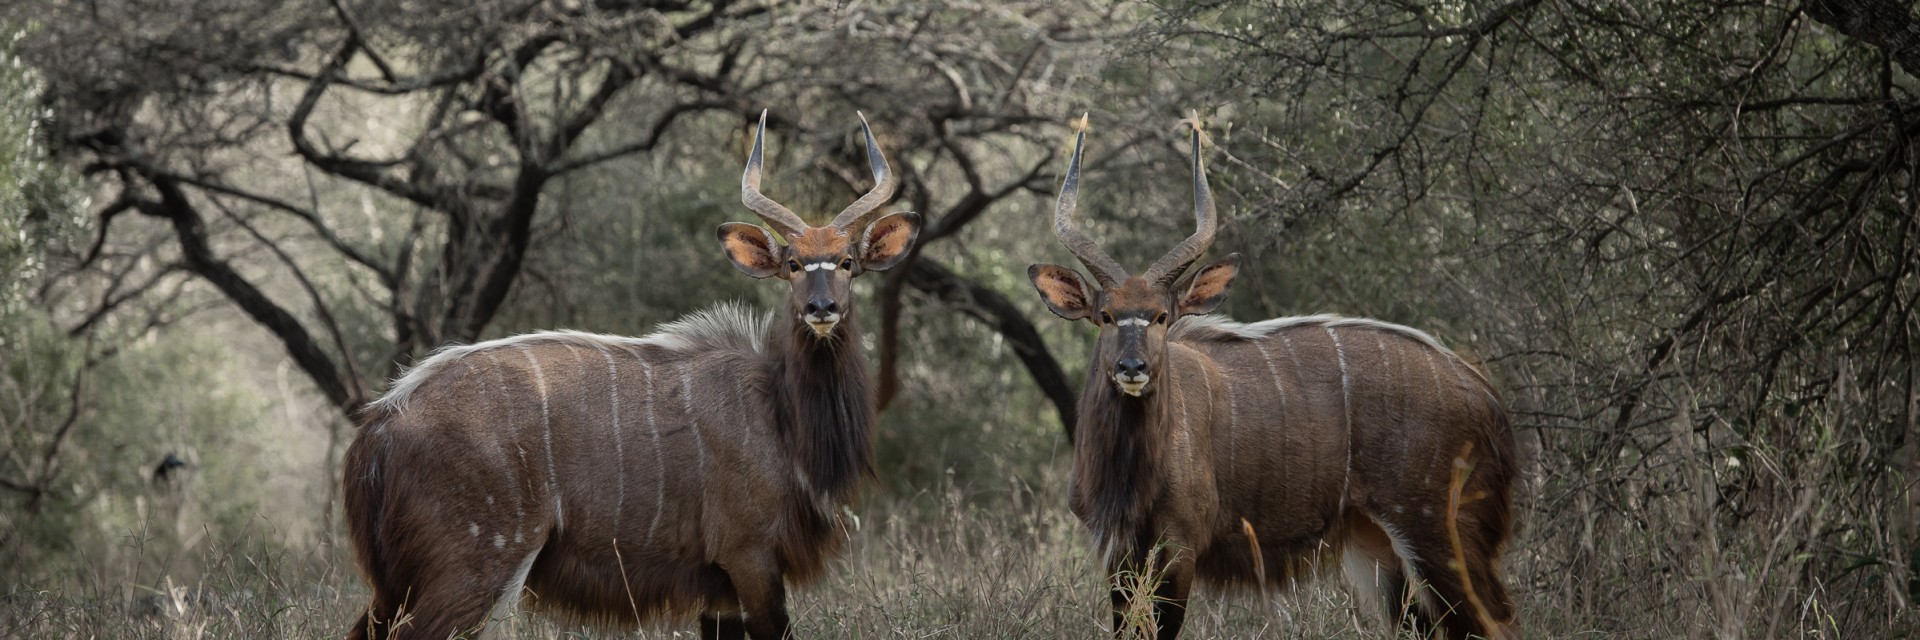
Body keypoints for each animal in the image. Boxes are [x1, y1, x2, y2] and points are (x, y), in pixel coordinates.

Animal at [341, 111, 917, 634]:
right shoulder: (749, 553)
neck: (780, 413)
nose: (822, 308)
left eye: (847, 262)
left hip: (397, 586)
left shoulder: (721, 588)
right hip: (475, 566)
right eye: (794, 264)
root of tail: (382, 425)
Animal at [1029, 118, 1520, 634]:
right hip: (1378, 548)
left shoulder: (1179, 545)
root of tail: (1487, 398)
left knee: (1497, 621)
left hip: (1440, 533)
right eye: (1105, 316)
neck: (1130, 470)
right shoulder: (1116, 552)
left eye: (1162, 317)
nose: (1132, 368)